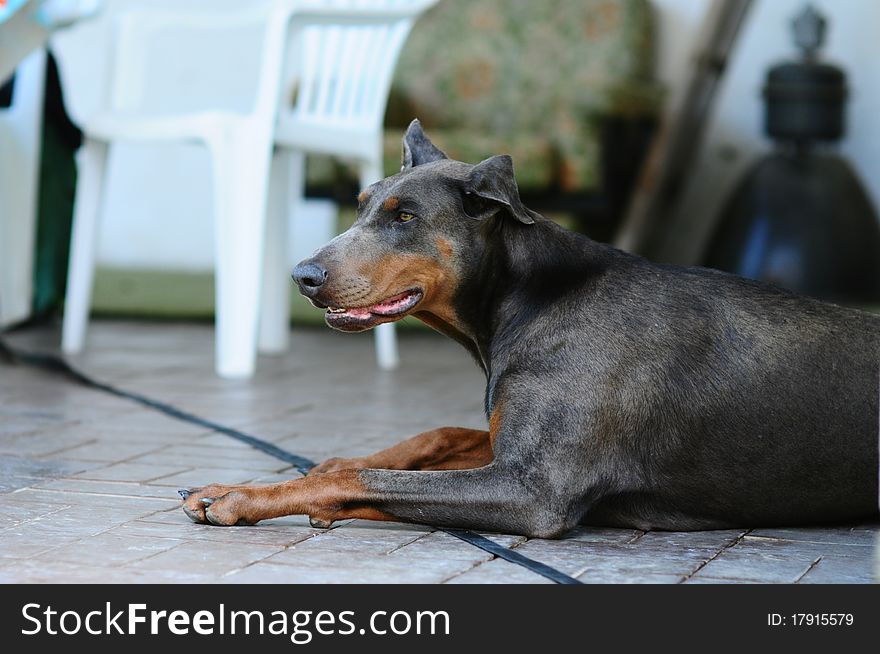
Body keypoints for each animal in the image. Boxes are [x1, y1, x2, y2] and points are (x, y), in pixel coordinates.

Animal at [180, 120, 880, 540]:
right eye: (358, 207)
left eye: (404, 218)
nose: (302, 275)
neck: (526, 302)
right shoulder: (507, 447)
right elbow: (429, 438)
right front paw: (322, 467)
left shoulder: (533, 489)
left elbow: (359, 482)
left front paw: (243, 494)